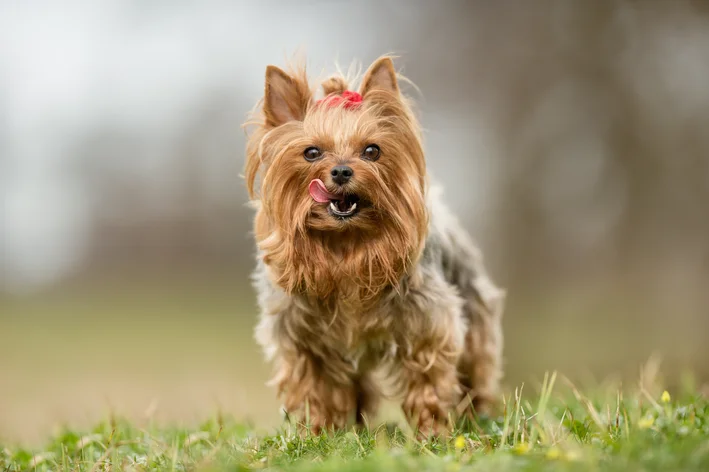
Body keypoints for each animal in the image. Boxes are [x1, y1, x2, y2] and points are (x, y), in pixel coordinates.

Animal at [243, 55, 504, 436]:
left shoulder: (427, 325)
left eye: (372, 150)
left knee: (476, 370)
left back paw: (478, 416)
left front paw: (432, 432)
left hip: (475, 312)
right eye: (311, 152)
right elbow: (314, 387)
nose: (340, 171)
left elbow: (428, 379)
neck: (346, 243)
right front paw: (317, 433)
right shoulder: (302, 339)